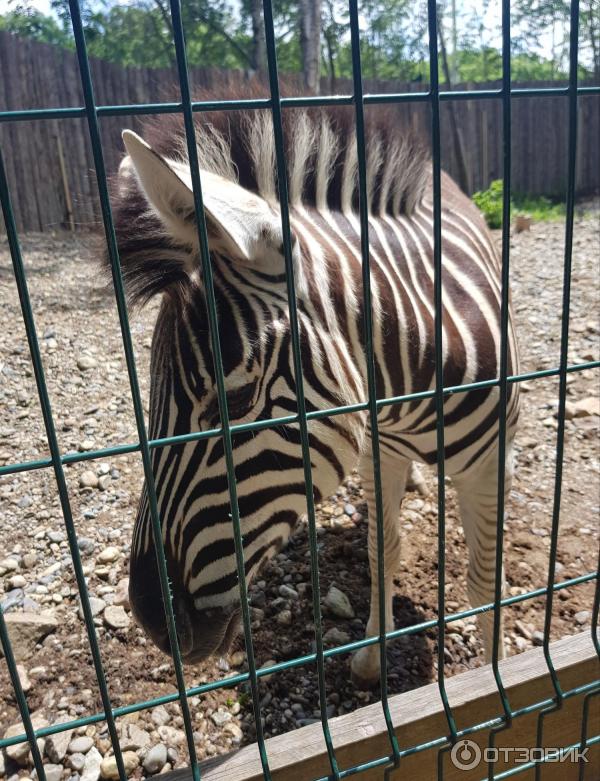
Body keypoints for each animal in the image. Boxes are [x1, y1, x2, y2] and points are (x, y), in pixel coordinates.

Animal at [109, 94, 520, 684]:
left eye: (236, 400)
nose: (147, 617)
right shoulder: (377, 450)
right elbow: (382, 550)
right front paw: (373, 656)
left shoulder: (493, 463)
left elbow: (486, 580)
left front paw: (499, 674)